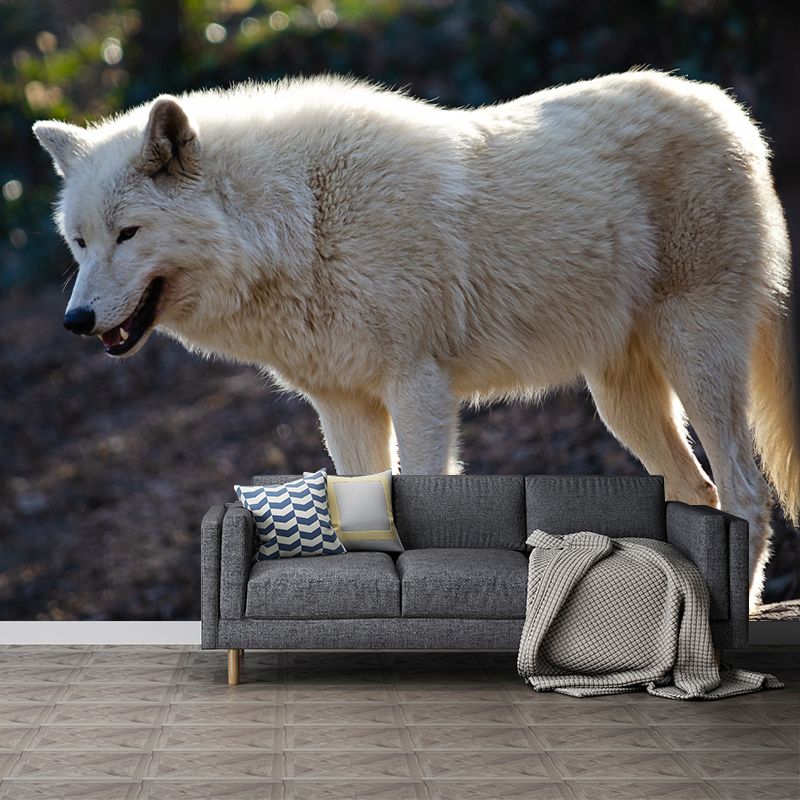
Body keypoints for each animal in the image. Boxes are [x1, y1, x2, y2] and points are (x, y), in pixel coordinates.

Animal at [33, 71, 797, 608]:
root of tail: (728, 107)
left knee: (747, 495)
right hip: (621, 402)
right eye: (80, 241)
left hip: (694, 356)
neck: (300, 221)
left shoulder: (419, 387)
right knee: (699, 493)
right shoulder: (343, 406)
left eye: (128, 233)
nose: (75, 321)